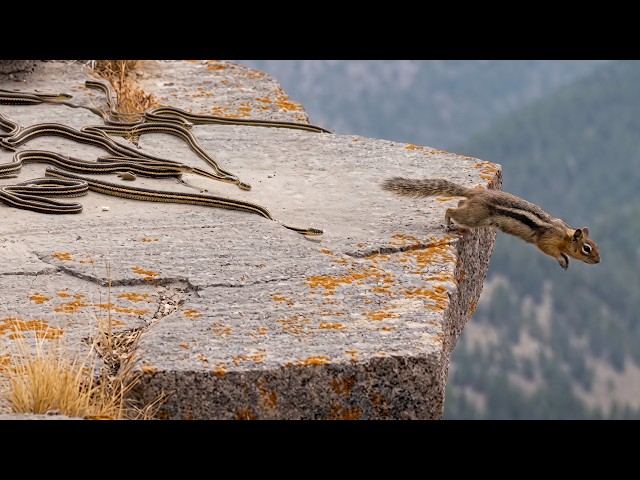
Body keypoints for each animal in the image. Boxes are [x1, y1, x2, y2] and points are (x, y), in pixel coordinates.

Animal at [381, 177, 600, 270]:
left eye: (596, 246)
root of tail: (477, 193)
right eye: (587, 248)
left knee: (459, 203)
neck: (564, 234)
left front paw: (565, 259)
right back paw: (448, 223)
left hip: (473, 211)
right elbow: (550, 251)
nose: (598, 261)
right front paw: (563, 259)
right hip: (474, 217)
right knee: (451, 210)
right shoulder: (547, 241)